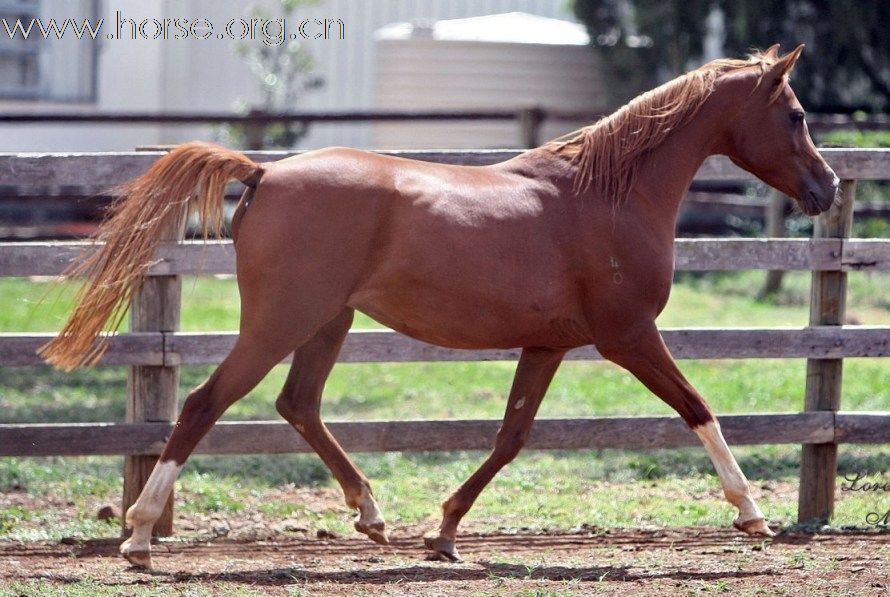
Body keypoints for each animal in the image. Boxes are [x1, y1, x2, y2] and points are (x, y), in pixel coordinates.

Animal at [40, 44, 832, 564]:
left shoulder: (549, 344)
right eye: (795, 114)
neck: (607, 196)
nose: (825, 188)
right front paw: (753, 513)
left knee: (299, 405)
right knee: (206, 402)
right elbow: (699, 407)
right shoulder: (627, 336)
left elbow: (511, 437)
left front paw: (443, 530)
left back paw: (372, 516)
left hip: (328, 321)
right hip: (281, 321)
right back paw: (140, 535)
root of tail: (263, 173)